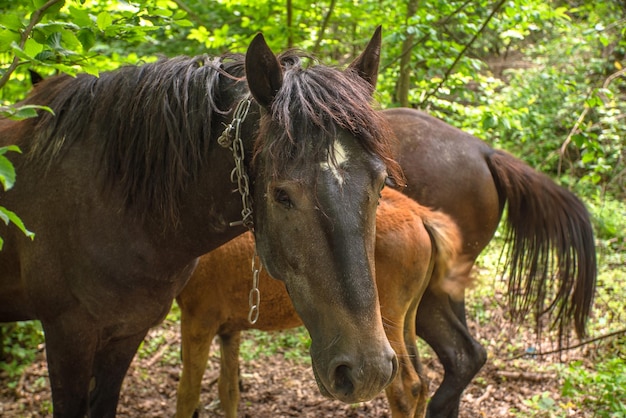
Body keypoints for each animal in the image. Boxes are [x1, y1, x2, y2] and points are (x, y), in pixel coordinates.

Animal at [0, 29, 404, 418]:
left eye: (380, 183)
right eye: (281, 194)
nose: (368, 370)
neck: (109, 204)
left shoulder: (126, 333)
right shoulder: (67, 336)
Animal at [173, 187, 466, 418]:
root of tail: (418, 214)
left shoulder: (198, 319)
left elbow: (187, 394)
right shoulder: (229, 329)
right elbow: (228, 391)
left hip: (387, 322)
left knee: (405, 390)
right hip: (408, 316)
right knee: (422, 383)